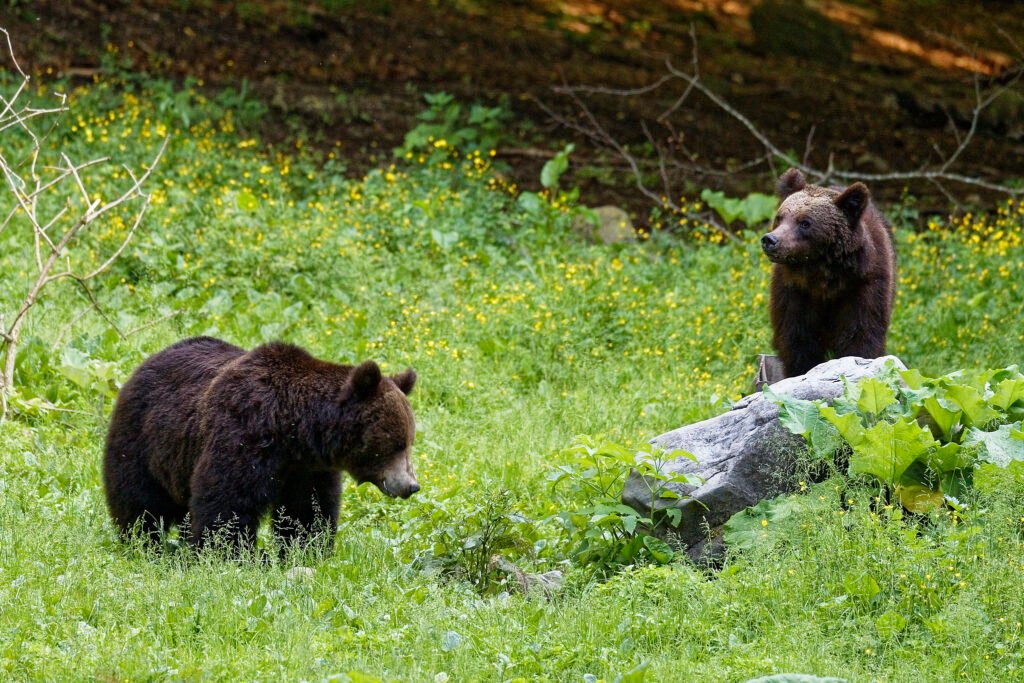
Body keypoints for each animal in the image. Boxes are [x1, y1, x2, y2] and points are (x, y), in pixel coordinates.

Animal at [103, 336, 419, 550]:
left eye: (409, 441)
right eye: (396, 443)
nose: (411, 486)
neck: (294, 430)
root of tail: (147, 361)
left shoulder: (306, 469)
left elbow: (308, 511)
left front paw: (305, 550)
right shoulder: (243, 434)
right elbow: (226, 504)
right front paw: (227, 553)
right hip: (143, 441)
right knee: (140, 502)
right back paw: (143, 543)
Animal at [760, 168, 896, 378]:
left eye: (805, 222)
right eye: (780, 217)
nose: (770, 240)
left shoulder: (863, 285)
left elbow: (861, 333)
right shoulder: (794, 291)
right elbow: (797, 339)